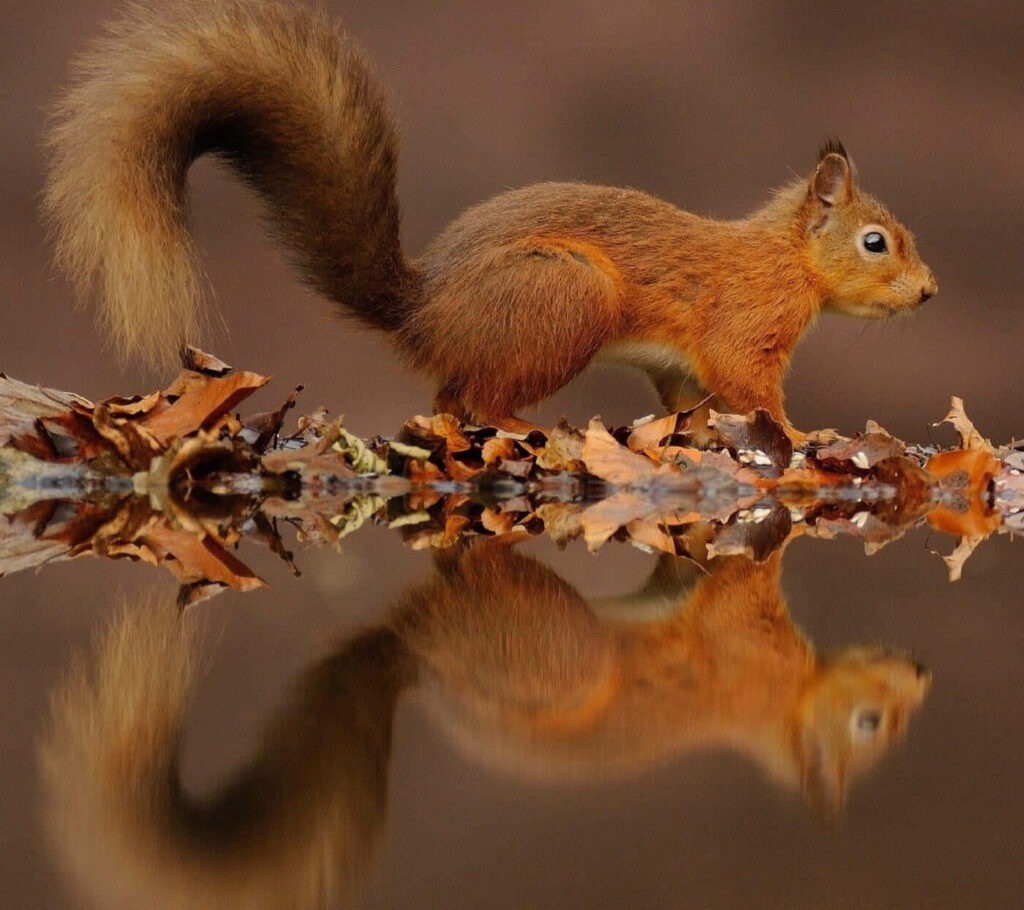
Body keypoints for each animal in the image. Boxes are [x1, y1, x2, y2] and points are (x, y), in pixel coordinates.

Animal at [43, 0, 937, 438]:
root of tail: (428, 313)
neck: (786, 258)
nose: (929, 293)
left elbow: (693, 395)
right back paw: (533, 425)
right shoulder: (744, 324)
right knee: (480, 397)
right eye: (875, 241)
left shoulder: (684, 364)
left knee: (449, 397)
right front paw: (803, 437)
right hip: (565, 301)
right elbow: (750, 387)